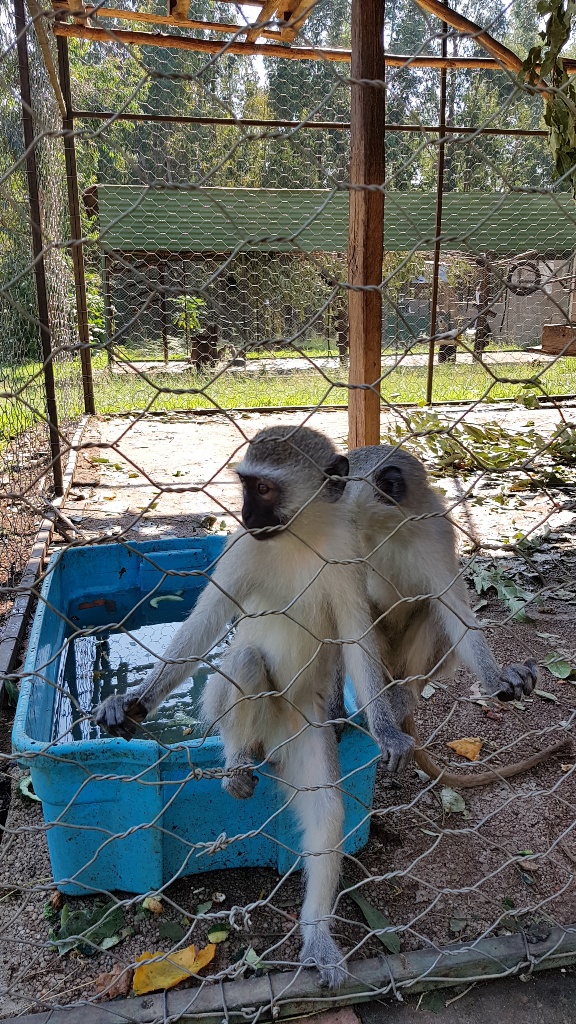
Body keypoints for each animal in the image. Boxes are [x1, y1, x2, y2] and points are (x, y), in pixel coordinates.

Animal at [95, 425, 414, 988]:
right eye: (246, 485)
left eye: (263, 489)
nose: (243, 514)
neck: (298, 536)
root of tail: (273, 742)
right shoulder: (241, 550)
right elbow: (203, 627)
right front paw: (136, 701)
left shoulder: (347, 553)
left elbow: (357, 639)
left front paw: (386, 730)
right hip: (236, 708)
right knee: (243, 660)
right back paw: (239, 762)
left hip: (302, 730)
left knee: (326, 811)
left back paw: (316, 935)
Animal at [342, 444, 571, 788]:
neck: (384, 527)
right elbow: (354, 628)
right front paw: (384, 729)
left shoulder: (434, 530)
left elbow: (453, 610)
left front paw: (497, 677)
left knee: (431, 608)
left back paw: (405, 695)